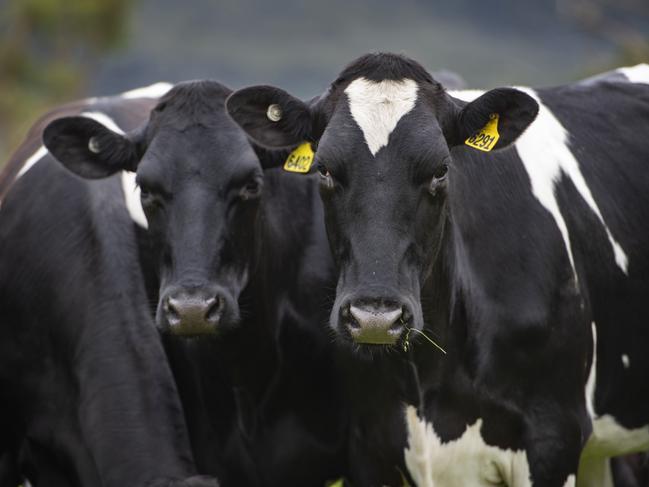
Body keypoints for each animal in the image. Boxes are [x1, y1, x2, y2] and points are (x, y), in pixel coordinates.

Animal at [225, 54, 648, 487]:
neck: (428, 378)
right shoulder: (369, 445)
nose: (375, 317)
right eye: (324, 170)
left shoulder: (553, 436)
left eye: (441, 170)